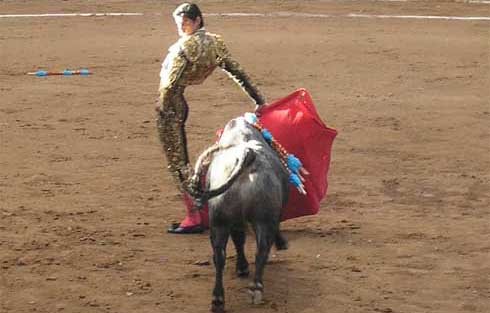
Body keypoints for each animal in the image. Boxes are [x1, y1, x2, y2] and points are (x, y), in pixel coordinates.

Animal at [190, 116, 290, 310]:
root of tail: (248, 156)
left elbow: (238, 239)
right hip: (262, 219)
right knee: (261, 250)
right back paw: (255, 287)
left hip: (219, 221)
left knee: (220, 255)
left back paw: (218, 299)